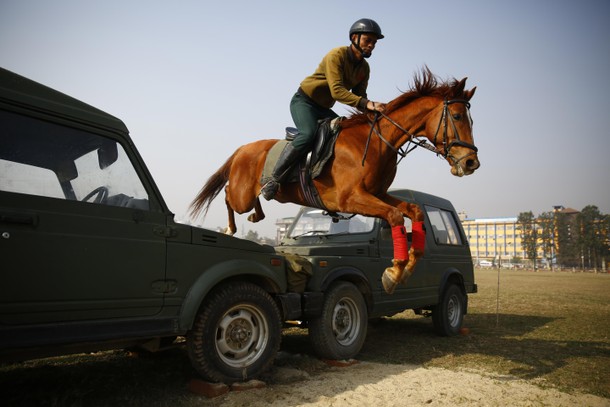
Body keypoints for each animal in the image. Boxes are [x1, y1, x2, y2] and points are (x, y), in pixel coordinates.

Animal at [188, 68, 478, 294]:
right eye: (457, 116)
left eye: (471, 119)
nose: (471, 162)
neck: (376, 142)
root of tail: (243, 148)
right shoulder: (350, 199)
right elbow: (395, 216)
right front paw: (394, 272)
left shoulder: (378, 194)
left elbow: (414, 211)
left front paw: (407, 266)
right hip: (242, 195)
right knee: (228, 194)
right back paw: (231, 228)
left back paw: (257, 213)